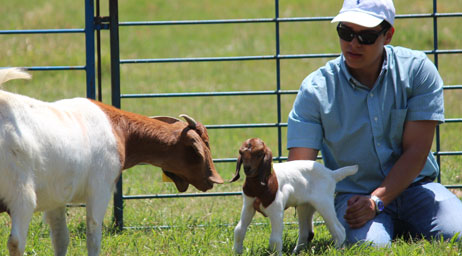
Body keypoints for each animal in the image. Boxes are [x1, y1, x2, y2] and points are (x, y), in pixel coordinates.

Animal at [0, 67, 224, 256]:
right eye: (199, 149)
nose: (211, 180)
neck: (118, 129)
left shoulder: (56, 196)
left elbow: (61, 238)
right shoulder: (100, 188)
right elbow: (93, 234)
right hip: (22, 195)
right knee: (16, 242)